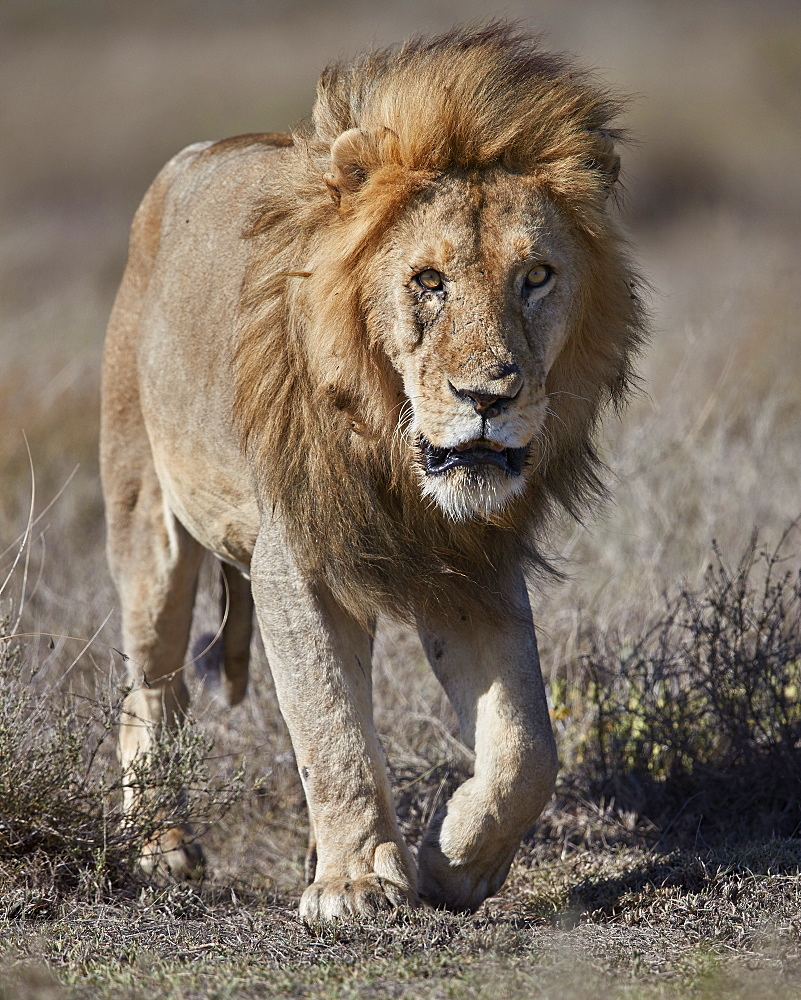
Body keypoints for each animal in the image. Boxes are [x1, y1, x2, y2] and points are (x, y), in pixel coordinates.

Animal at [103, 25, 648, 920]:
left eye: (535, 277)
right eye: (429, 282)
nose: (487, 398)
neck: (398, 462)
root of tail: (194, 155)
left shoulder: (474, 566)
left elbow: (526, 748)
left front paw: (454, 860)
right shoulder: (298, 559)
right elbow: (332, 727)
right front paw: (356, 883)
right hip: (145, 518)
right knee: (150, 687)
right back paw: (162, 848)